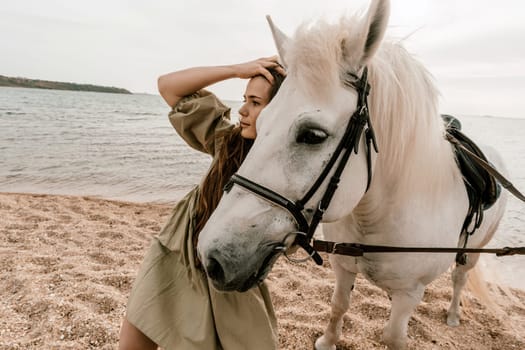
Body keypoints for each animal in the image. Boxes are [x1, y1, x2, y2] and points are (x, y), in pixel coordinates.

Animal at [196, 1, 508, 348]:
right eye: (260, 123)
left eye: (313, 135)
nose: (211, 258)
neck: (375, 221)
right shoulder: (343, 266)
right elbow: (338, 305)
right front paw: (328, 341)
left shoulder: (409, 292)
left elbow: (393, 336)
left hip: (472, 252)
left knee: (459, 278)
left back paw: (453, 314)